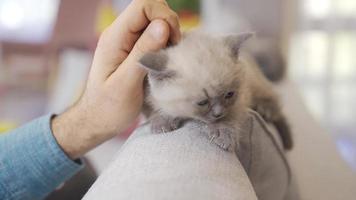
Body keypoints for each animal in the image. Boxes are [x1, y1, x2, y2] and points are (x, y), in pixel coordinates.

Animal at [138, 32, 292, 151]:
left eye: (229, 94)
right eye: (202, 102)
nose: (218, 113)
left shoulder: (240, 100)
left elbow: (229, 117)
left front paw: (222, 134)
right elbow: (158, 108)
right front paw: (162, 121)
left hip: (255, 84)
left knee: (274, 102)